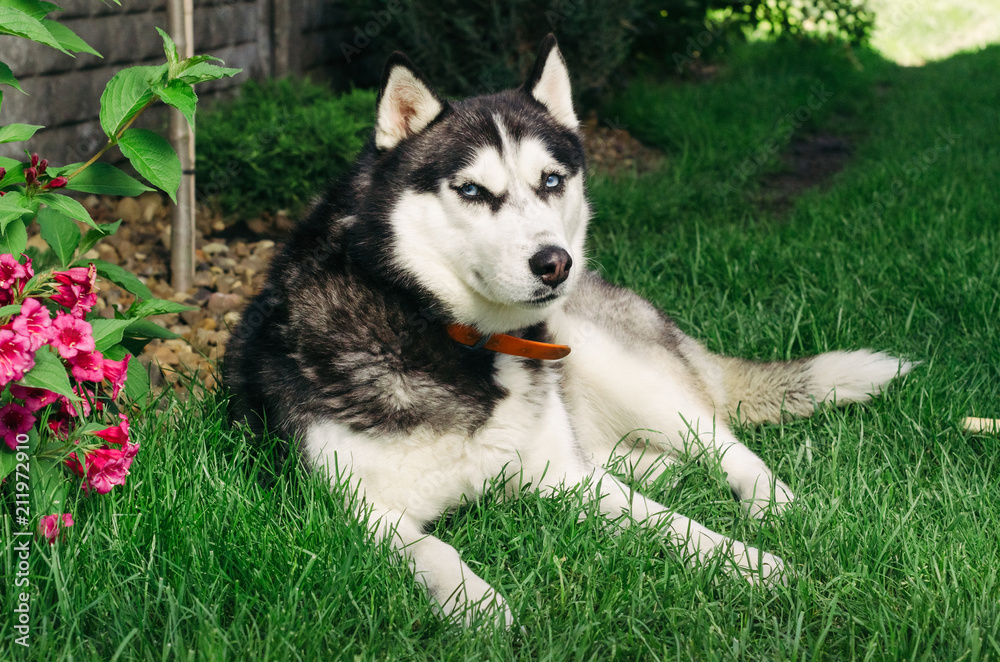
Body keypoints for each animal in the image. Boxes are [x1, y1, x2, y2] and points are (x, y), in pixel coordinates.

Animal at [225, 35, 908, 628]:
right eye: (471, 190)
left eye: (551, 180)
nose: (556, 263)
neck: (456, 339)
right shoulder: (353, 510)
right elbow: (434, 550)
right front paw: (476, 604)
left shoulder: (563, 475)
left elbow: (673, 525)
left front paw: (750, 563)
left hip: (618, 364)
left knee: (725, 444)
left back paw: (772, 504)